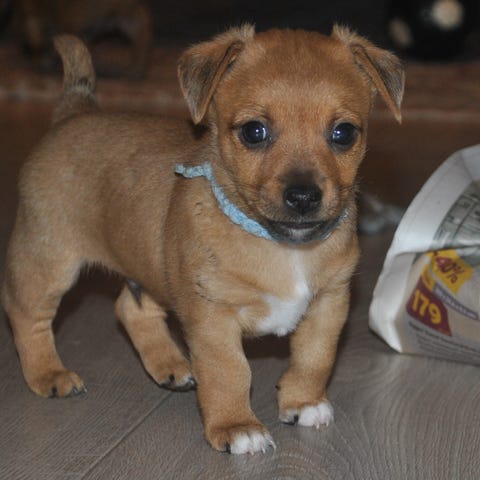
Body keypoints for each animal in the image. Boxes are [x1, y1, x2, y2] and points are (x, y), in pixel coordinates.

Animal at [1, 25, 404, 454]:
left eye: (343, 134)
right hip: (48, 260)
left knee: (129, 308)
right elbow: (230, 373)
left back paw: (170, 366)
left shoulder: (329, 304)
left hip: (149, 270)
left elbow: (315, 359)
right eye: (254, 131)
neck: (282, 245)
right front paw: (235, 425)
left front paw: (303, 402)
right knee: (25, 314)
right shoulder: (213, 319)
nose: (303, 197)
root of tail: (75, 112)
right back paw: (48, 374)